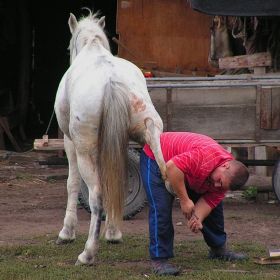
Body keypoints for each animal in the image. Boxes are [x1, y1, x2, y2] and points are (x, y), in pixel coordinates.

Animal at [53, 9, 167, 266]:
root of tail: (112, 81)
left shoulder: (70, 143)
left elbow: (72, 183)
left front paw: (66, 232)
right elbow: (117, 181)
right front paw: (114, 233)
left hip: (85, 150)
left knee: (96, 195)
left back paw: (87, 253)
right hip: (151, 134)